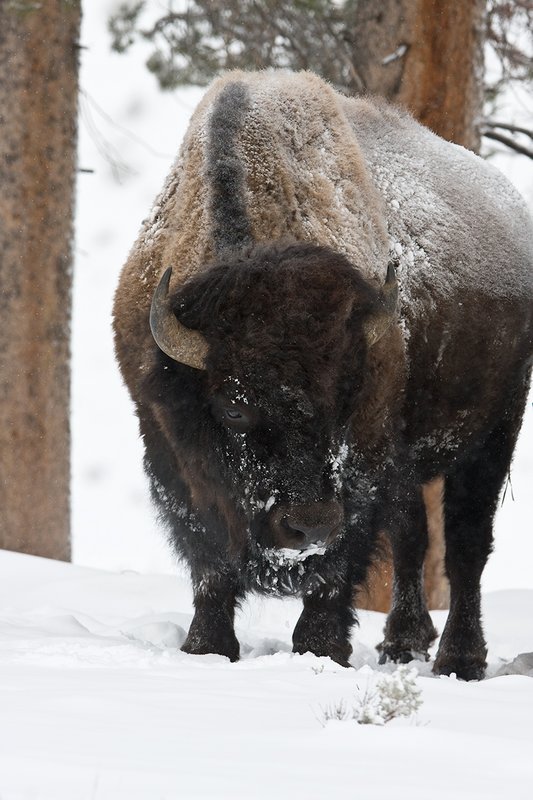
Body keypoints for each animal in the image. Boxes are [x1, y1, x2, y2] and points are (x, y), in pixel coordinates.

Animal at [113, 70, 533, 680]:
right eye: (234, 406)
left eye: (344, 398)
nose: (307, 523)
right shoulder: (170, 453)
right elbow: (211, 559)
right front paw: (206, 647)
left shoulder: (364, 462)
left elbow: (340, 564)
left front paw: (320, 649)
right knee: (414, 537)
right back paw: (402, 641)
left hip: (495, 432)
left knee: (465, 544)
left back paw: (459, 658)